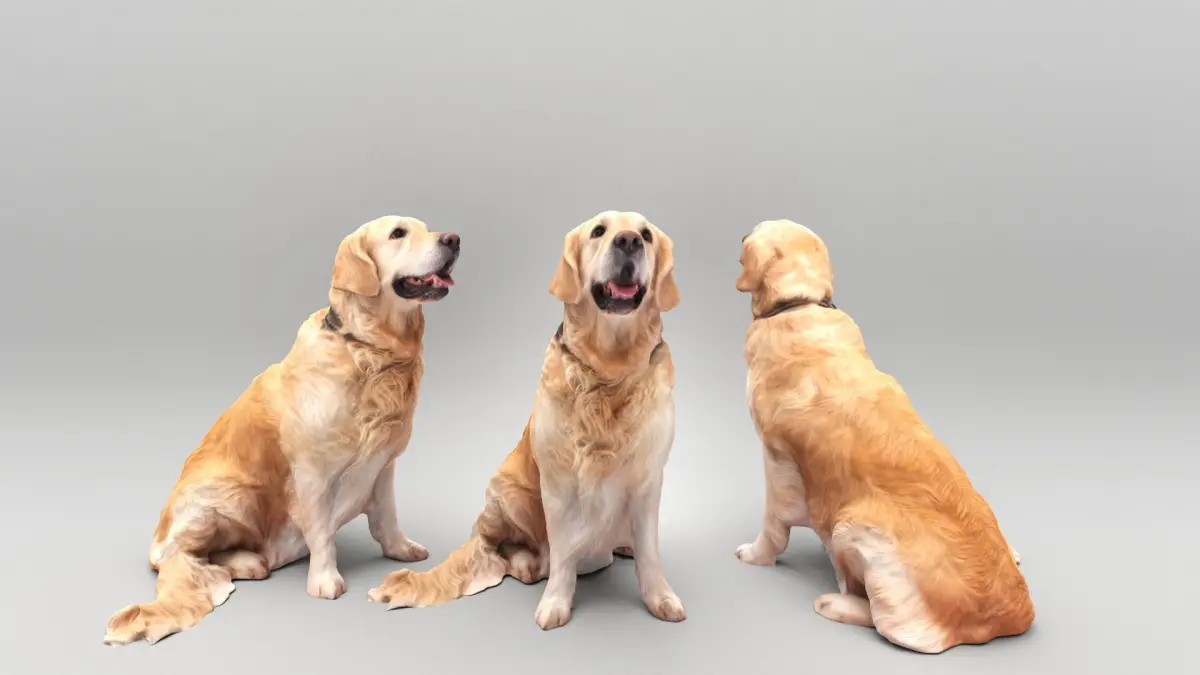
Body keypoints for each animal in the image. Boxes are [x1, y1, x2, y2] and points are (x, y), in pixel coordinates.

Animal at [103, 215, 460, 646]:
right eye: (397, 234)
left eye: (426, 227)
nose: (454, 240)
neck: (368, 350)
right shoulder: (312, 471)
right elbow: (321, 531)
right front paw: (325, 579)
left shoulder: (384, 465)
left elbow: (387, 516)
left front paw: (401, 549)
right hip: (231, 493)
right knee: (178, 556)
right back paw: (245, 560)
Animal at [366, 211, 685, 630]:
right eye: (599, 231)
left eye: (646, 235)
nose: (629, 241)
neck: (611, 369)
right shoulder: (559, 484)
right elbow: (563, 551)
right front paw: (555, 603)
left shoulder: (648, 479)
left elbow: (650, 551)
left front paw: (660, 597)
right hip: (509, 491)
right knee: (510, 549)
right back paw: (531, 564)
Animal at [733, 219, 1033, 654]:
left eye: (756, 230)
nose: (742, 234)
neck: (800, 303)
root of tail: (1014, 614)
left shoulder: (778, 459)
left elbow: (774, 523)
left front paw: (756, 554)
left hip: (853, 527)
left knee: (896, 629)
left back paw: (835, 602)